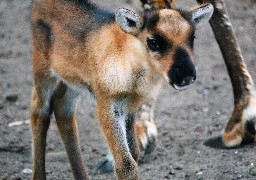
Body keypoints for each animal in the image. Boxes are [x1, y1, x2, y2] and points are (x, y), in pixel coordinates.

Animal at [30, 0, 213, 179]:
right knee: (39, 111)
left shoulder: (130, 107)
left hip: (71, 80)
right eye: (153, 42)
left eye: (192, 37)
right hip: (43, 70)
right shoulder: (107, 104)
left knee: (62, 109)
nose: (186, 75)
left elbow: (134, 152)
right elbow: (125, 163)